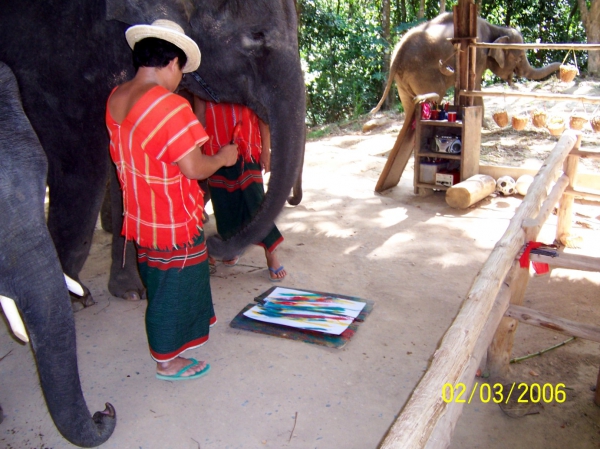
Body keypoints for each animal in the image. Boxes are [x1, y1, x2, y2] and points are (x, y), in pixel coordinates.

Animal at [0, 0, 308, 304]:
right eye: (256, 37)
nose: (215, 244)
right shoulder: (60, 57)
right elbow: (80, 160)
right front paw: (77, 296)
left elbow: (120, 170)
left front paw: (130, 291)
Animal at [370, 12, 564, 122]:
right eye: (519, 57)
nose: (560, 70)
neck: (497, 28)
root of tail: (397, 53)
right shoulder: (478, 56)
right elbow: (475, 86)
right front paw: (483, 124)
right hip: (422, 73)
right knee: (433, 96)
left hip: (402, 79)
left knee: (409, 104)